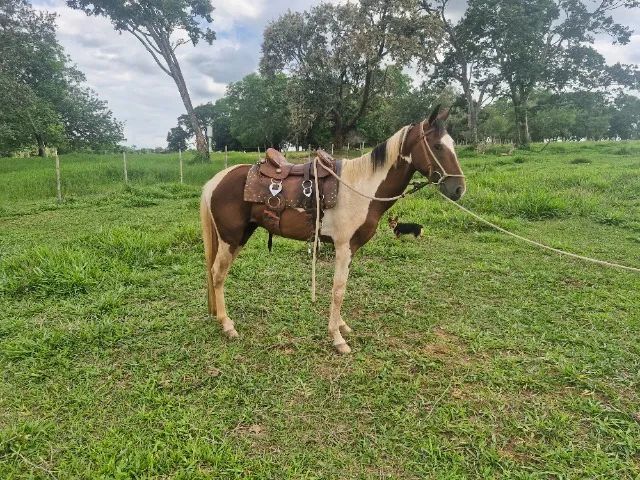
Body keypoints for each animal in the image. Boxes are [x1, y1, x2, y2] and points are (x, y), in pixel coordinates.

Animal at [200, 106, 466, 354]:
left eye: (453, 144)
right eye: (437, 146)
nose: (459, 189)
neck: (362, 188)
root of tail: (217, 180)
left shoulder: (352, 250)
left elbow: (342, 288)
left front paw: (341, 326)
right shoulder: (343, 247)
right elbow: (338, 290)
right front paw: (337, 338)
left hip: (240, 237)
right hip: (230, 238)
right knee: (217, 274)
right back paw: (227, 325)